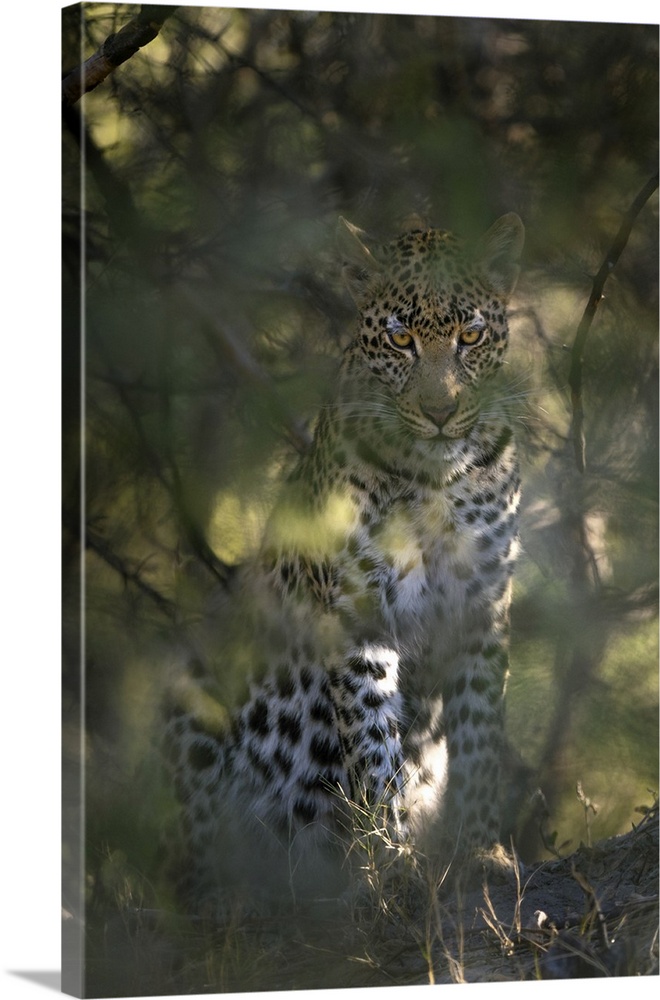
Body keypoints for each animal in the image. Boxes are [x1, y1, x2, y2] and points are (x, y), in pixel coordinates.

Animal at [163, 211, 525, 913]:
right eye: (401, 338)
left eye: (470, 335)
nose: (440, 413)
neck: (436, 480)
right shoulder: (358, 611)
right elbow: (372, 747)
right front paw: (392, 868)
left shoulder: (483, 605)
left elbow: (480, 733)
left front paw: (481, 849)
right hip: (195, 687)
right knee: (202, 857)